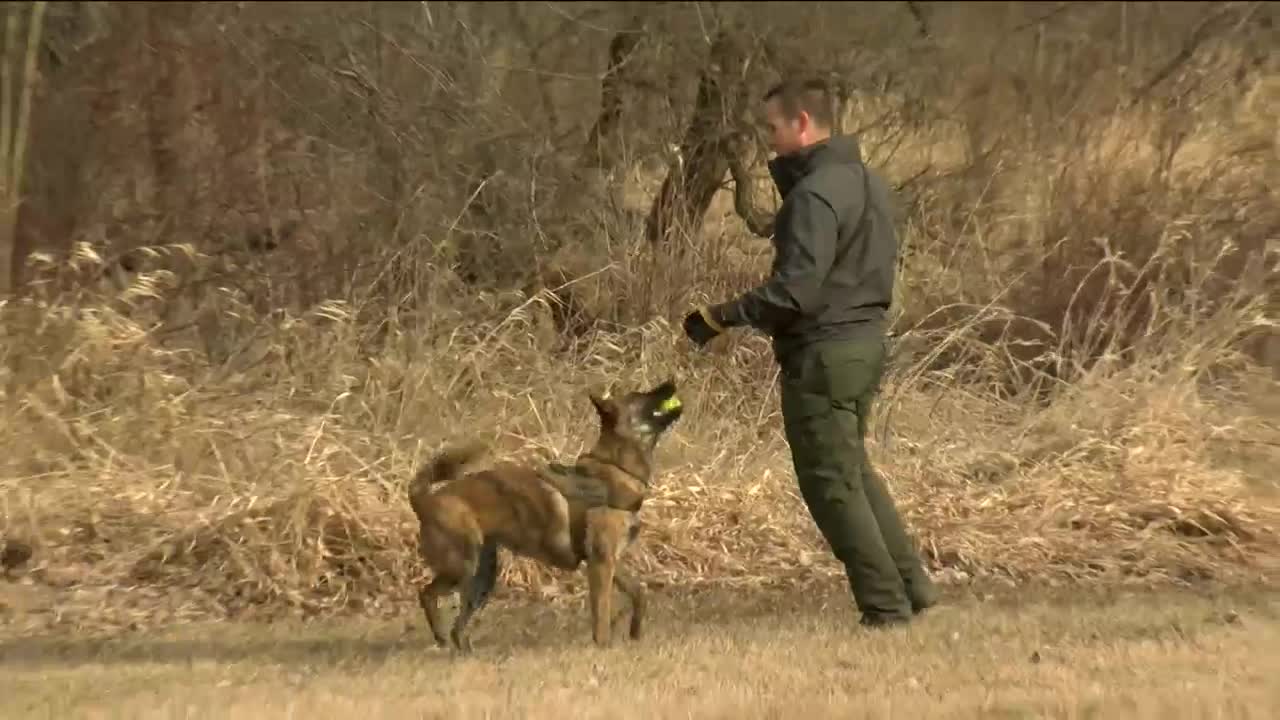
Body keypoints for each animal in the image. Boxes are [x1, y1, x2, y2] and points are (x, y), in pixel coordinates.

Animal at [412, 379, 691, 653]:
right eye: (638, 395)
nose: (671, 381)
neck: (615, 469)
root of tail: (424, 500)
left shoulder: (612, 561)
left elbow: (639, 593)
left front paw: (635, 632)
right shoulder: (601, 563)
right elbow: (601, 616)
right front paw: (603, 648)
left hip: (483, 574)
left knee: (457, 625)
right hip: (463, 567)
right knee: (426, 594)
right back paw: (440, 638)